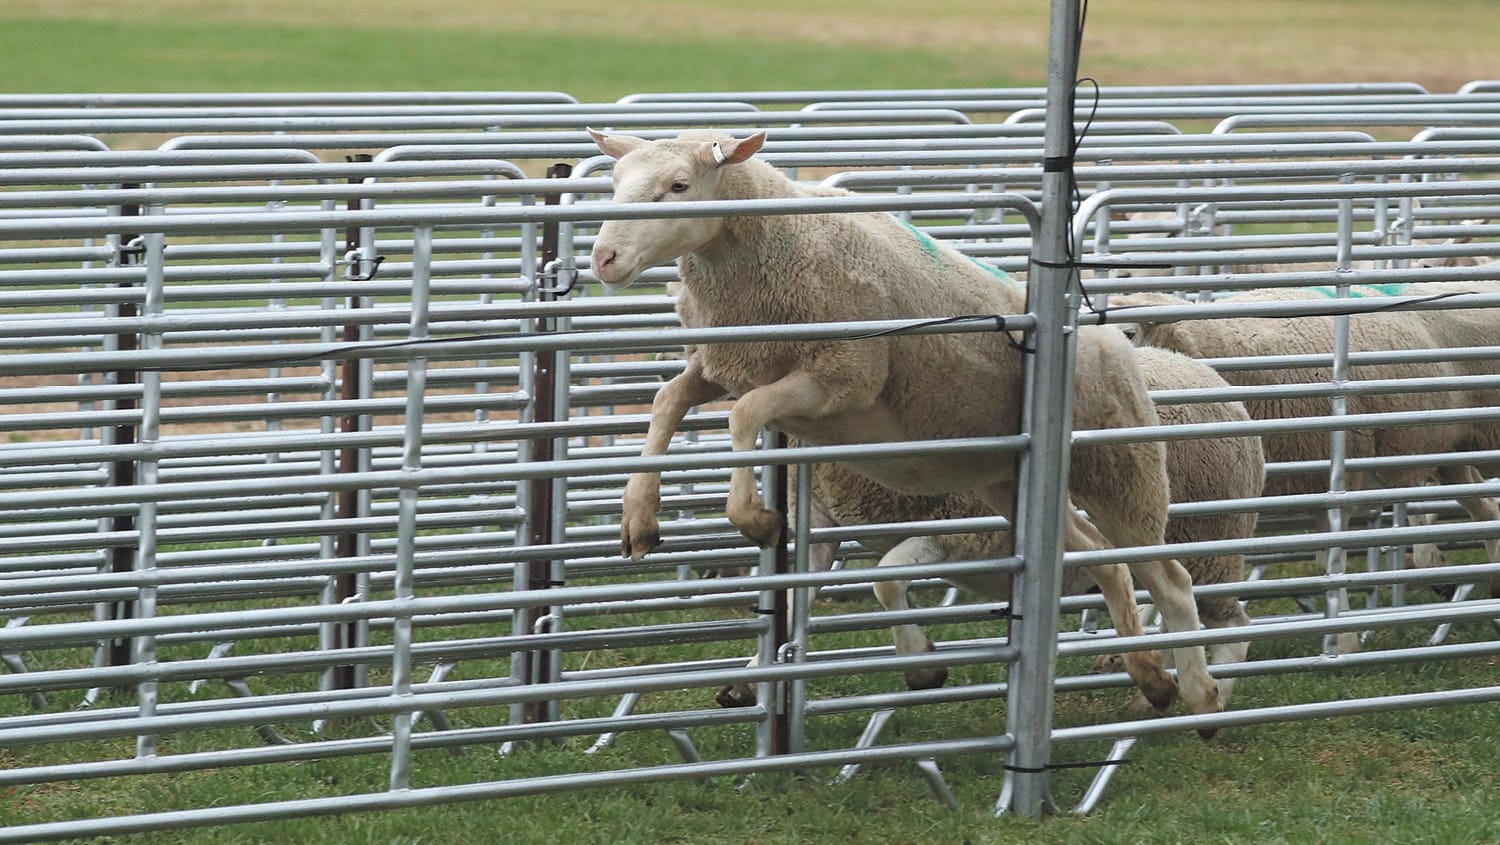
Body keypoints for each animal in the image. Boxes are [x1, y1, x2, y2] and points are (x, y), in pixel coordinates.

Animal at [804, 345, 1262, 709]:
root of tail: (1211, 379)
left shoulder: (959, 529)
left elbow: (886, 580)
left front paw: (924, 667)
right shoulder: (818, 521)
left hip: (1209, 543)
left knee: (1233, 630)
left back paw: (1206, 701)